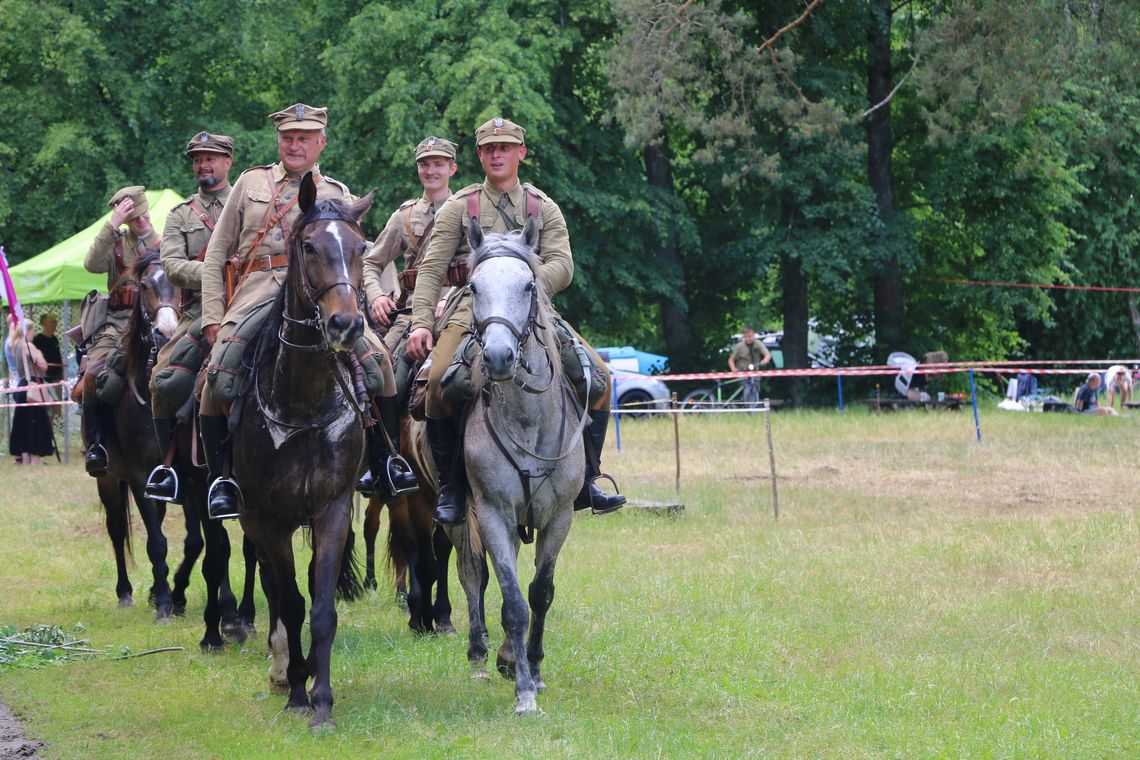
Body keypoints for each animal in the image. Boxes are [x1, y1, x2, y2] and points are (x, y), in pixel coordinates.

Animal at [462, 218, 588, 715]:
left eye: (529, 285)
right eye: (473, 286)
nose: (498, 357)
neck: (527, 419)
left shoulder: (560, 518)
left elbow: (540, 593)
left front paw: (532, 668)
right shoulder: (492, 513)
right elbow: (512, 601)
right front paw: (523, 692)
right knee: (476, 575)